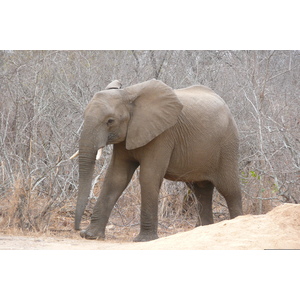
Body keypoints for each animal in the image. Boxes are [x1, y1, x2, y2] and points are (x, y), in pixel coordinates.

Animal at [73, 79, 244, 241]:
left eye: (110, 121)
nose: (77, 229)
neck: (128, 94)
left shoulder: (163, 135)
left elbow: (148, 177)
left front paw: (143, 240)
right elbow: (116, 177)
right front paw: (91, 236)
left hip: (227, 144)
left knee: (229, 189)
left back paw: (236, 221)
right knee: (201, 190)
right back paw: (203, 229)